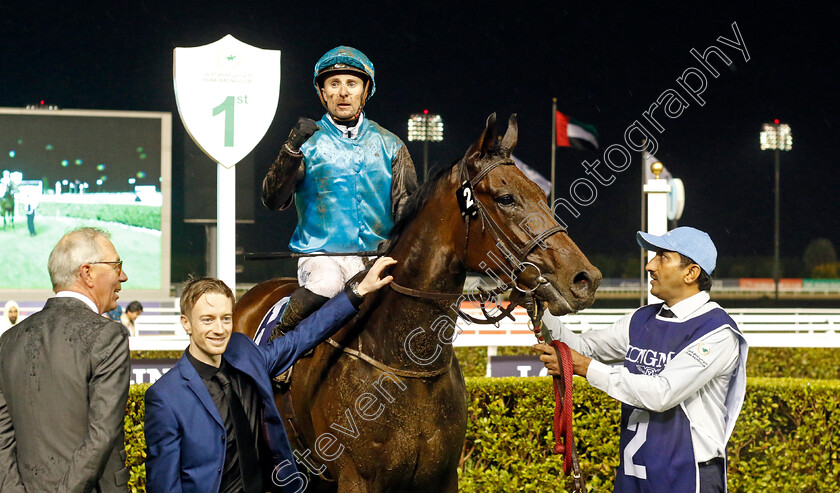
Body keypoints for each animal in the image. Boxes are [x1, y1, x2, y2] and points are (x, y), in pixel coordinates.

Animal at [233, 113, 600, 490]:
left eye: (541, 193)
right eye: (506, 198)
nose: (584, 279)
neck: (408, 363)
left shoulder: (442, 476)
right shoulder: (356, 478)